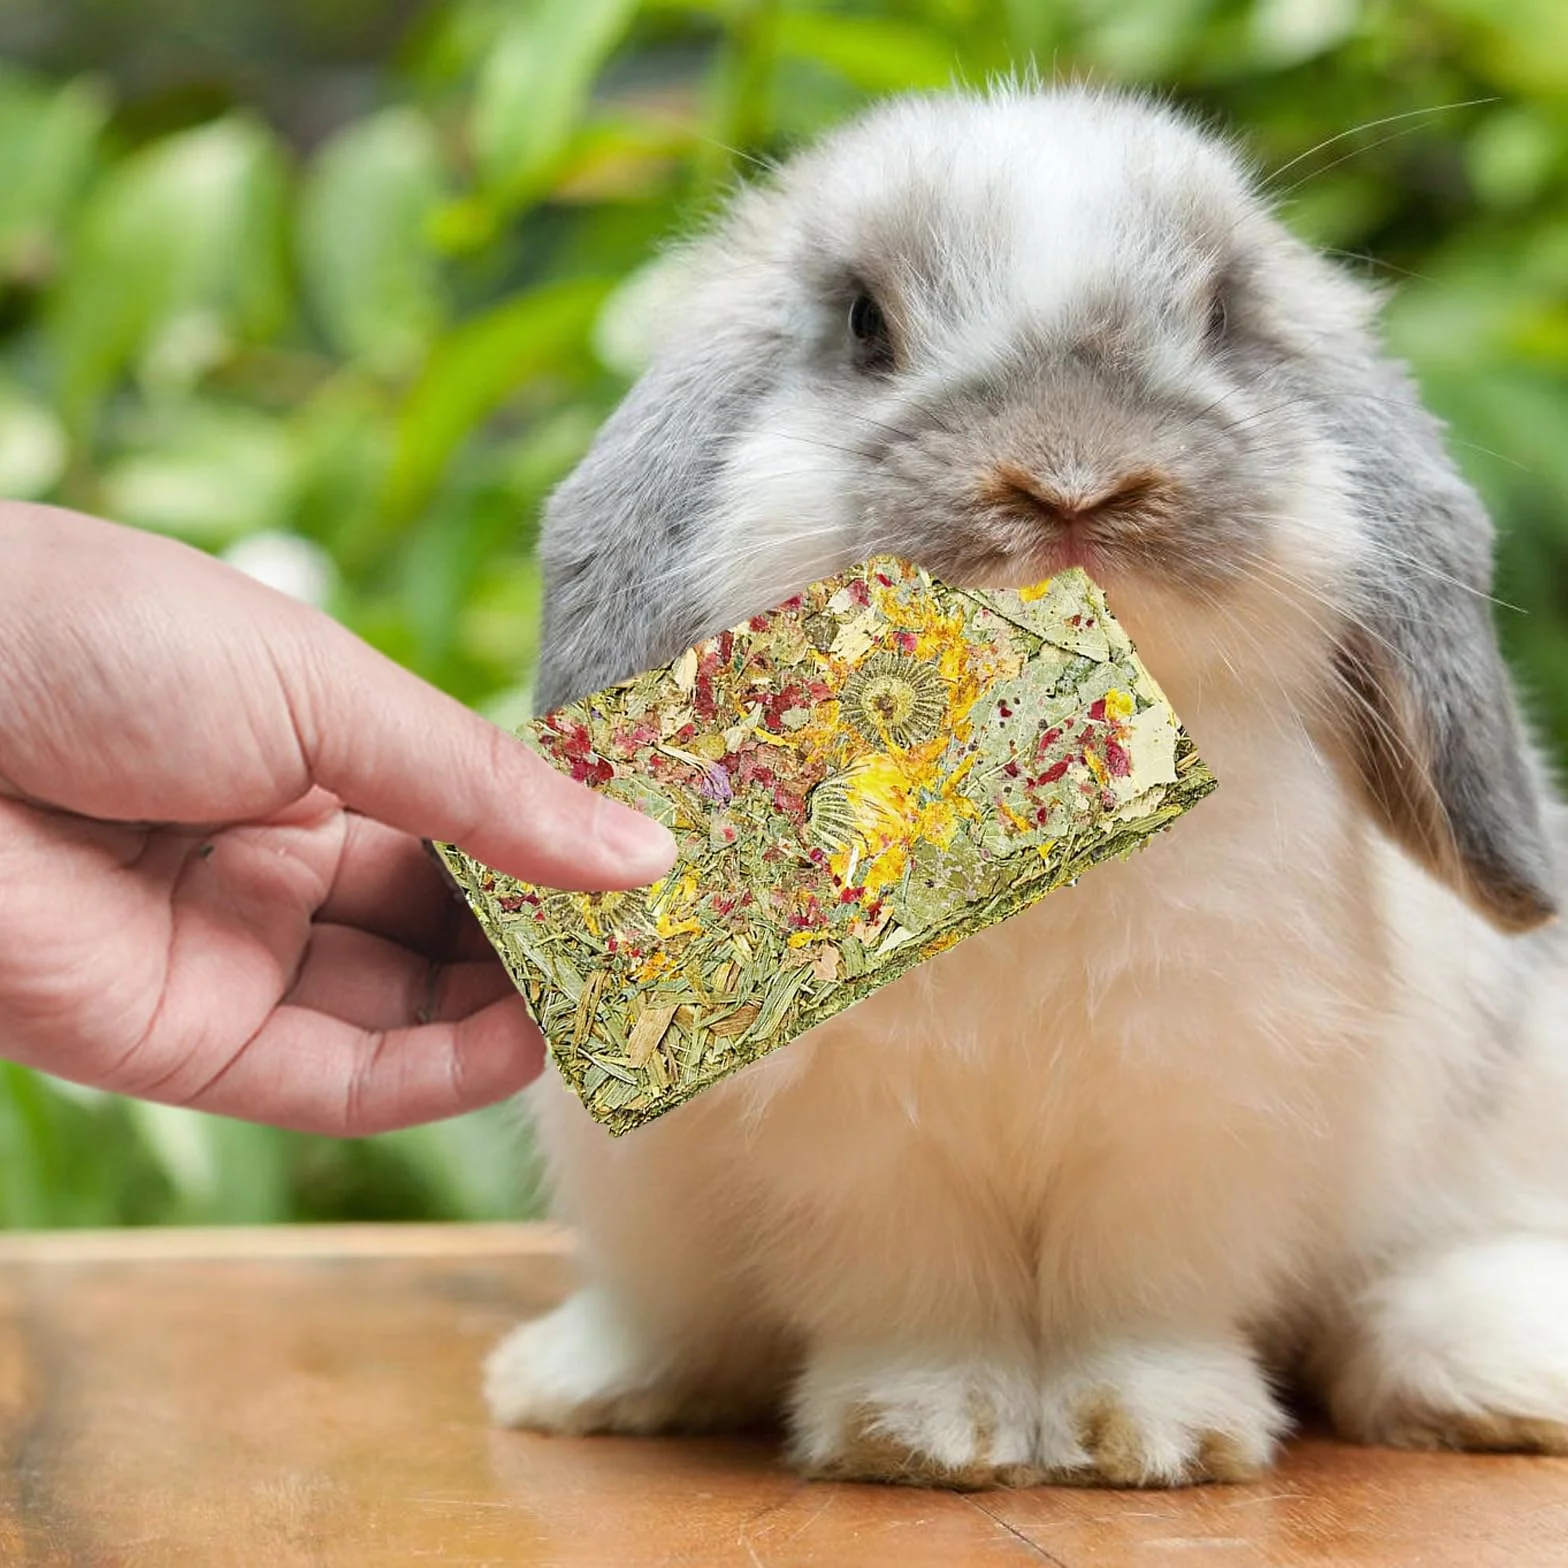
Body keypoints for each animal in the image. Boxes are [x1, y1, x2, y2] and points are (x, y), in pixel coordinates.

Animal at [484, 84, 1568, 1488]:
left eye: (1222, 316)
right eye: (863, 323)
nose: (1071, 479)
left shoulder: (1191, 1110)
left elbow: (1141, 1292)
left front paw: (1151, 1439)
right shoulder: (863, 1145)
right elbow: (915, 1292)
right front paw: (924, 1435)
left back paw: (1497, 1375)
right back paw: (579, 1380)